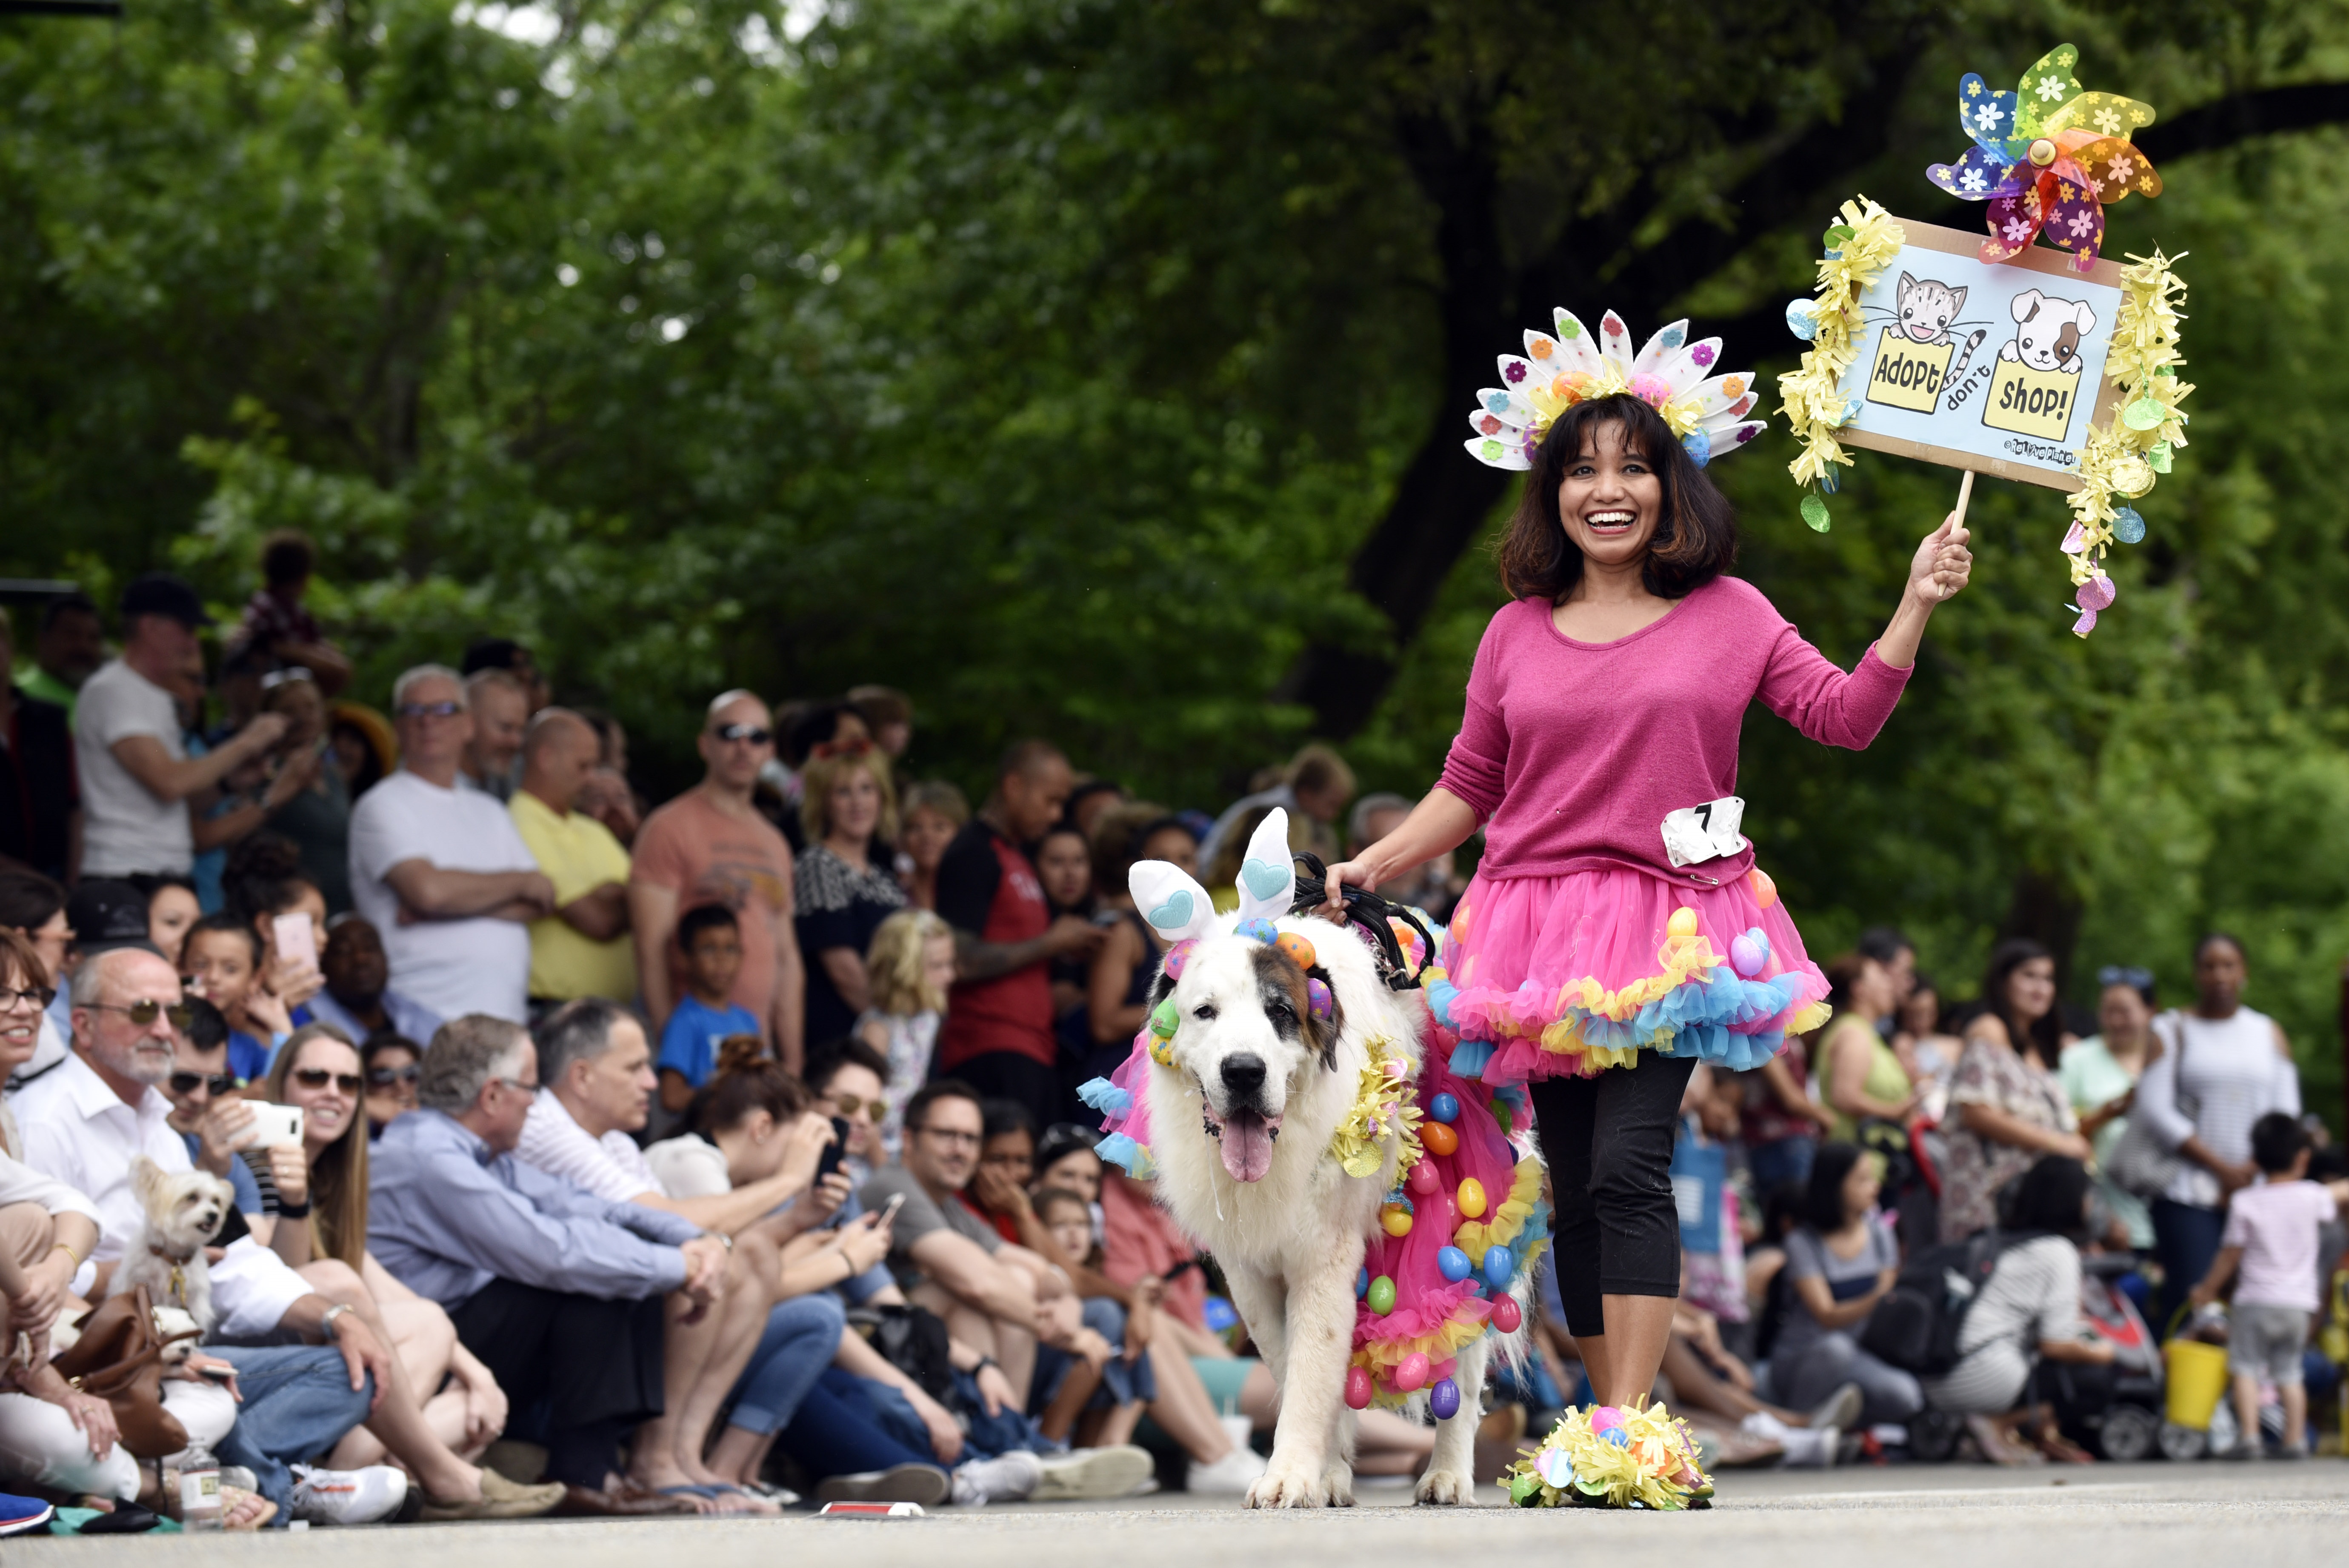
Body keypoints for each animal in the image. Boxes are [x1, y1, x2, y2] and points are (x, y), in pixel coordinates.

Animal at [1123, 807, 1532, 1502]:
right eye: (1205, 1013)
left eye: (1280, 1012)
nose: (1243, 1071)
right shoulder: (1250, 1274)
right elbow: (1297, 1367)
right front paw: (1319, 1471)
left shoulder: (1324, 1255)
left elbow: (1314, 1366)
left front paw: (1289, 1475)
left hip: (1470, 1233)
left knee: (1463, 1366)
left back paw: (1448, 1474)